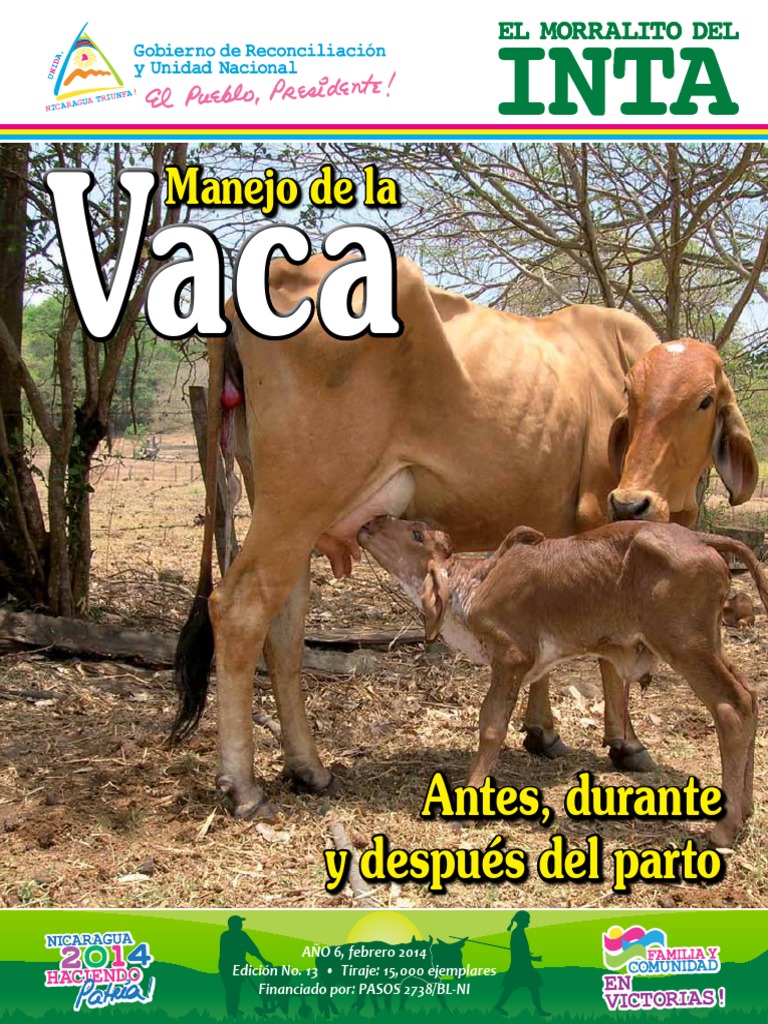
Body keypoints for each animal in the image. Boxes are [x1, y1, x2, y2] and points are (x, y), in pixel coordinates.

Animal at [172, 255, 758, 821]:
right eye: (630, 398)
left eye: (704, 400)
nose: (632, 502)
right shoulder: (596, 519)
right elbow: (609, 657)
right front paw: (624, 743)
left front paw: (543, 732)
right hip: (297, 504)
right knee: (240, 608)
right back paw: (244, 787)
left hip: (285, 512)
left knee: (285, 627)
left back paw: (308, 769)